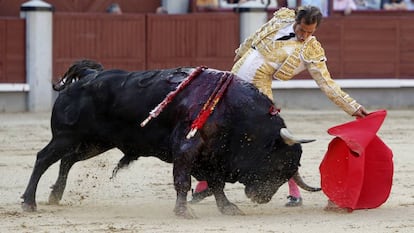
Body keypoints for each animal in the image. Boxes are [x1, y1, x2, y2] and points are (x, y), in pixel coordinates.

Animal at [21, 59, 320, 218]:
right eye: (279, 162)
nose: (263, 198)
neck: (234, 112)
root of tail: (88, 74)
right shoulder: (186, 148)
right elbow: (183, 180)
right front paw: (184, 211)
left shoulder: (212, 156)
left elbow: (217, 184)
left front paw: (227, 208)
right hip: (66, 136)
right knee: (43, 158)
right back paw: (29, 202)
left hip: (94, 142)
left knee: (67, 161)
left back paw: (55, 195)